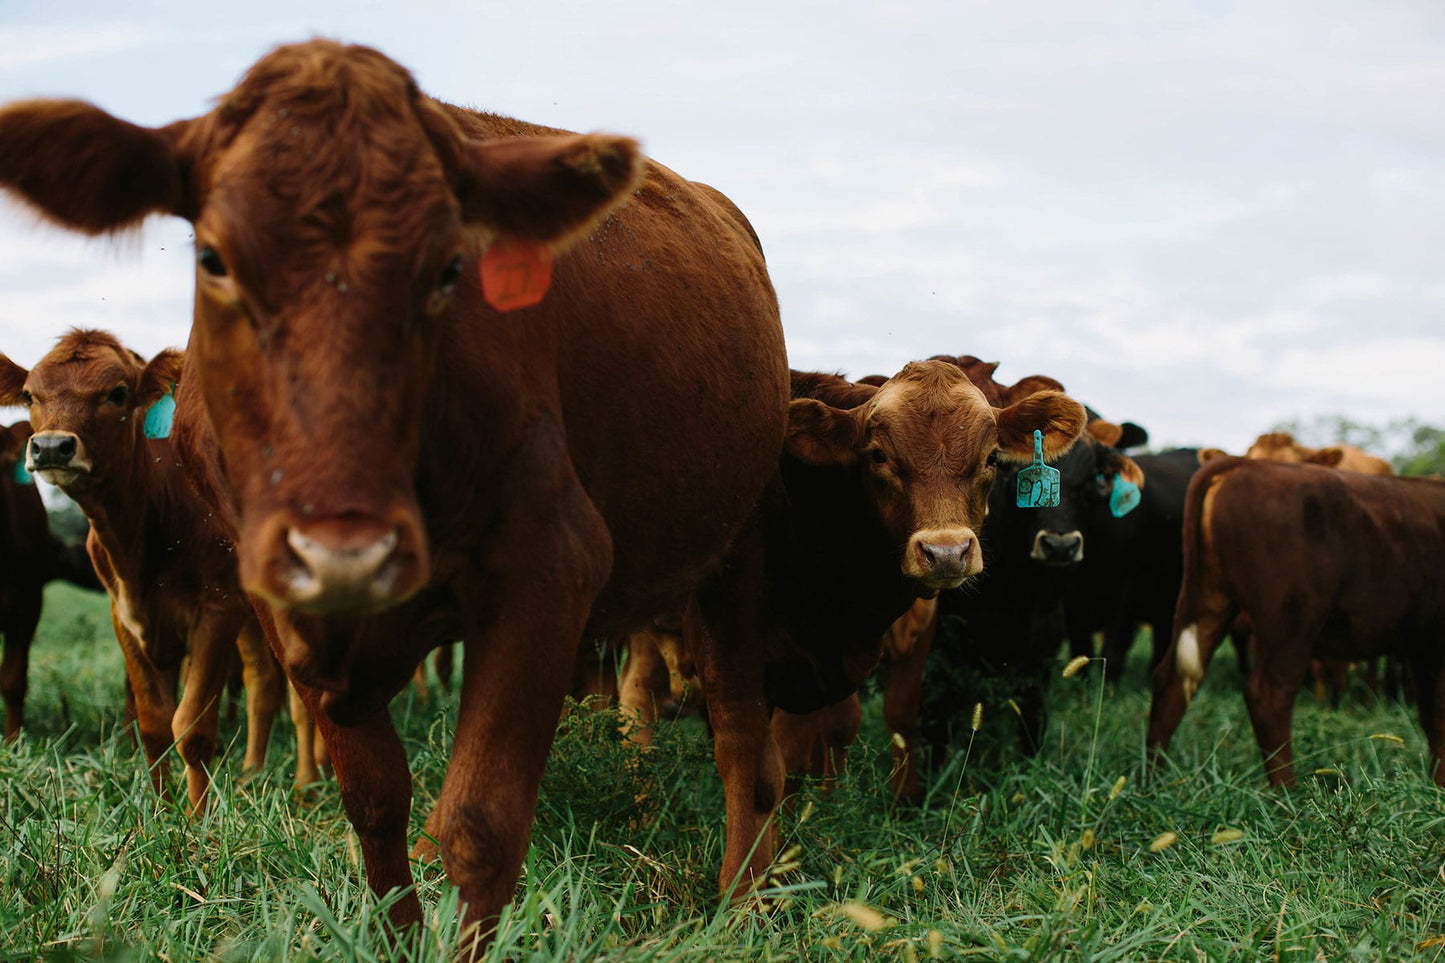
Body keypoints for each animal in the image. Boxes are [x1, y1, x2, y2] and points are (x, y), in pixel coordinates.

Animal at [0, 329, 284, 803]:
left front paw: (198, 814)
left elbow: (192, 727)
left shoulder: (218, 611)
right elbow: (154, 723)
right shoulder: (128, 617)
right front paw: (162, 807)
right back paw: (253, 772)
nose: (51, 446)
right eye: (29, 394)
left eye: (117, 393)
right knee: (263, 683)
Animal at [1156, 454, 1445, 786]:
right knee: (1269, 696)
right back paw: (1288, 792)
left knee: (1172, 681)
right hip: (1289, 621)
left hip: (1206, 598)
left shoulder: (1424, 645)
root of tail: (1243, 464)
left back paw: (1150, 779)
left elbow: (1431, 717)